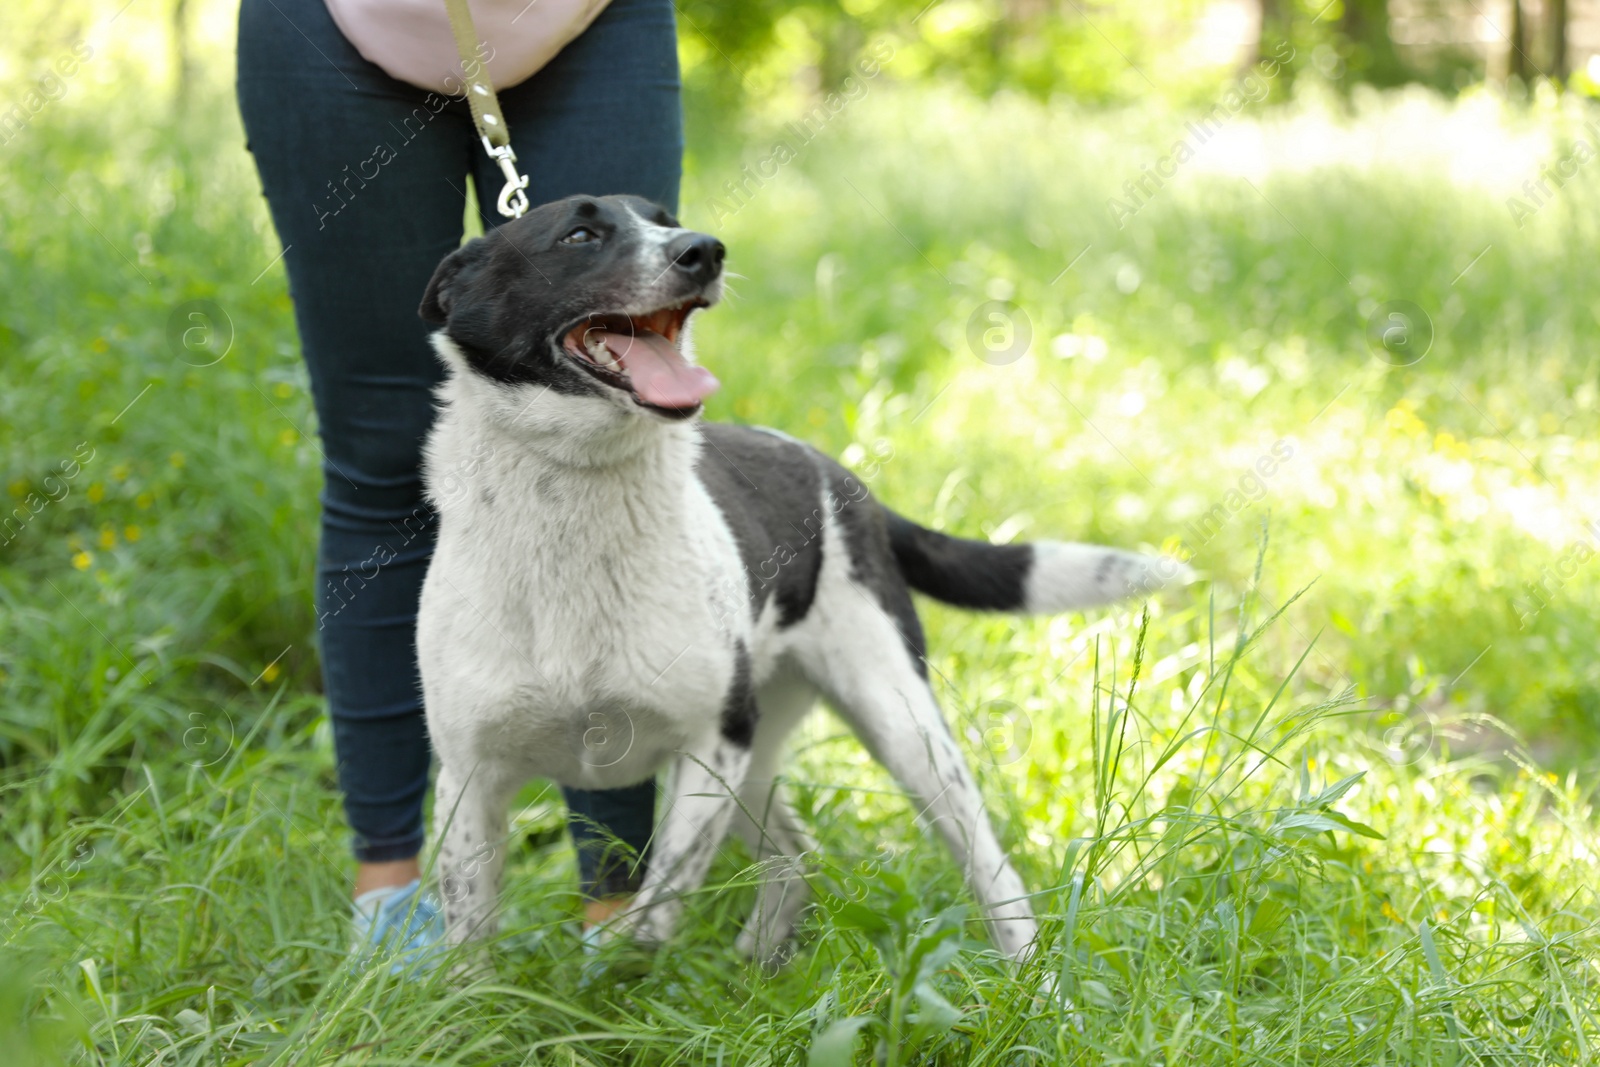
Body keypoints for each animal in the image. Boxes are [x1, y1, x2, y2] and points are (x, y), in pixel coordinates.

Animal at [412, 194, 1190, 966]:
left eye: (666, 218)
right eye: (578, 235)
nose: (704, 250)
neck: (573, 508)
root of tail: (842, 477)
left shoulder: (717, 738)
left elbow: (661, 897)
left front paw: (620, 971)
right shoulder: (469, 783)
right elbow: (469, 945)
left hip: (901, 724)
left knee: (989, 868)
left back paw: (1029, 976)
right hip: (765, 757)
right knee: (795, 858)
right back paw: (758, 961)